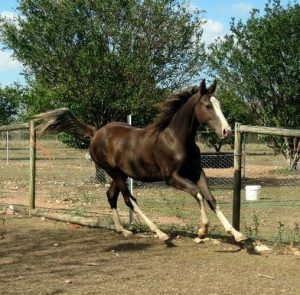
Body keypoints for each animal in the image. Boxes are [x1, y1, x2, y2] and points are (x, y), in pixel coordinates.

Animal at [35, 80, 246, 243]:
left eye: (219, 105)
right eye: (208, 106)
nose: (226, 131)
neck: (176, 139)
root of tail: (95, 133)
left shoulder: (196, 172)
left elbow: (210, 198)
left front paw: (236, 234)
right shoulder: (172, 177)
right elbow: (198, 194)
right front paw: (202, 231)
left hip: (119, 174)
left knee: (111, 195)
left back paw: (123, 230)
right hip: (114, 173)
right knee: (129, 199)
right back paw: (159, 233)